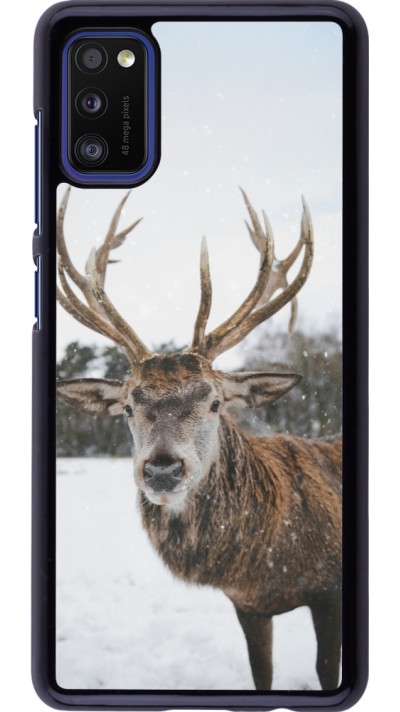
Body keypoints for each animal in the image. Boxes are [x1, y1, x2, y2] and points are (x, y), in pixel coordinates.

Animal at [56, 188, 342, 691]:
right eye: (128, 407)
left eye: (214, 401)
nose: (162, 469)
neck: (267, 564)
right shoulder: (248, 605)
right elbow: (261, 673)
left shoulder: (330, 590)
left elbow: (328, 670)